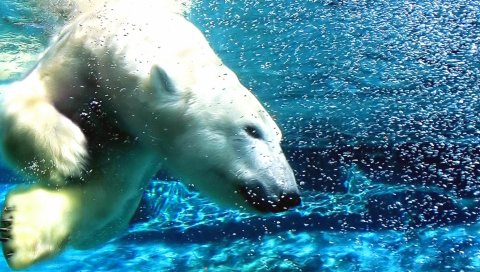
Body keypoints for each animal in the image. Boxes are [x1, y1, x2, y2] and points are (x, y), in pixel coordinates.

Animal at [0, 0, 300, 268]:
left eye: (279, 137)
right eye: (251, 130)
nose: (289, 195)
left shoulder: (137, 139)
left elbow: (109, 192)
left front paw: (18, 227)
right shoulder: (79, 56)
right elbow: (21, 95)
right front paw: (67, 153)